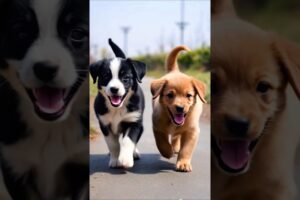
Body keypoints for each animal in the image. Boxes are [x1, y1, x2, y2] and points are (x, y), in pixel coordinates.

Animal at [0, 0, 88, 199]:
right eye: (21, 33)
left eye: (78, 33)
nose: (45, 69)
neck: (52, 127)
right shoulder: (14, 165)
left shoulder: (80, 166)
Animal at [90, 38, 146, 168]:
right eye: (106, 76)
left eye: (125, 78)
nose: (114, 89)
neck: (117, 109)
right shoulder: (104, 124)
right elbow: (113, 143)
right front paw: (115, 159)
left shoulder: (134, 122)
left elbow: (128, 140)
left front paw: (125, 159)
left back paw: (134, 153)